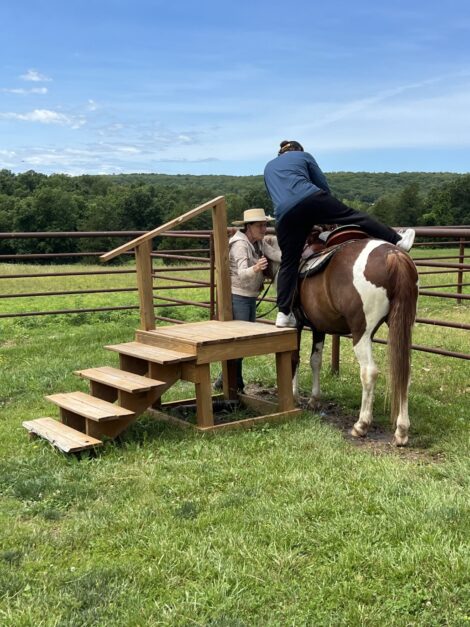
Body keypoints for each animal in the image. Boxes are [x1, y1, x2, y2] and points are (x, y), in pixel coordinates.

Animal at [294, 232, 418, 446]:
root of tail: (393, 254)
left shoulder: (293, 322)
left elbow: (293, 358)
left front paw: (293, 396)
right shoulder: (318, 327)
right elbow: (315, 361)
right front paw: (314, 399)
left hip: (362, 333)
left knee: (369, 372)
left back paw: (361, 425)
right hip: (400, 325)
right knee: (404, 374)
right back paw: (401, 431)